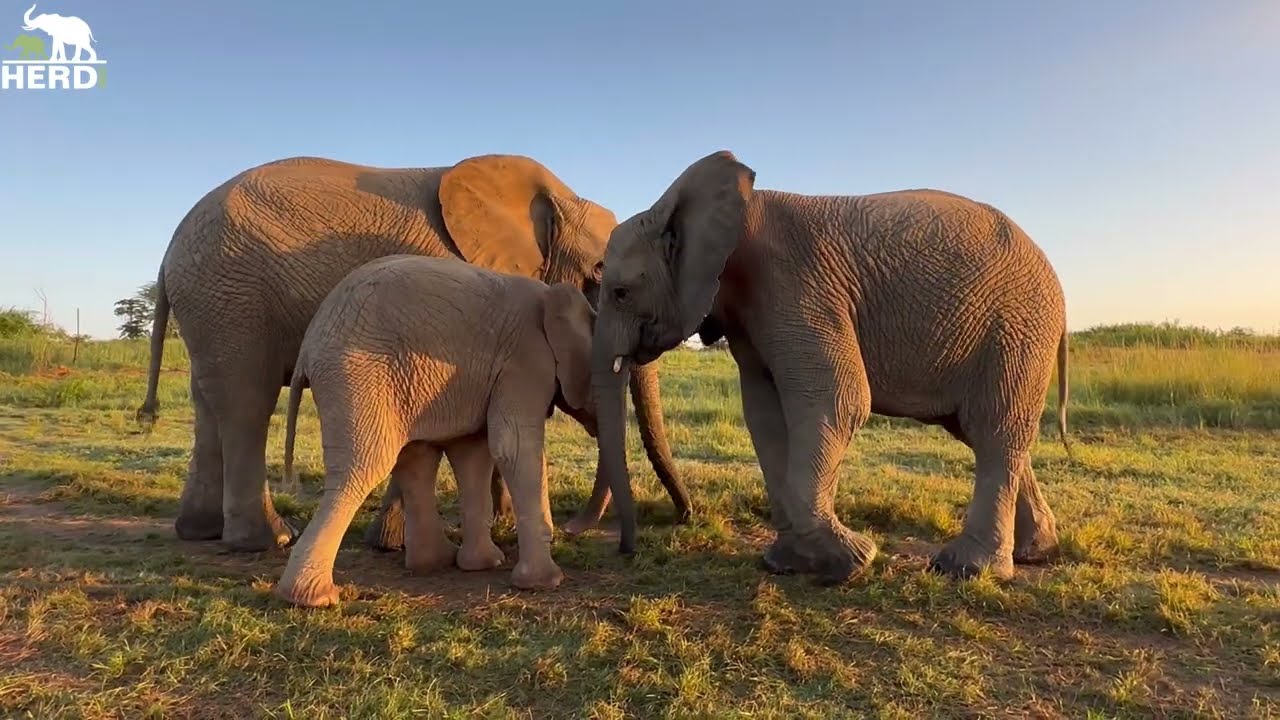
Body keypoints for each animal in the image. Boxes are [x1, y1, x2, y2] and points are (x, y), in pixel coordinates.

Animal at [136, 154, 690, 553]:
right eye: (599, 274)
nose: (681, 518)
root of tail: (168, 252)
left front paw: (497, 523)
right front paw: (398, 545)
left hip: (212, 304)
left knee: (208, 403)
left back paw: (199, 534)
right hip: (233, 298)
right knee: (248, 403)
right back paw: (267, 540)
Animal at [275, 255, 597, 607]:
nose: (569, 530)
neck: (552, 296)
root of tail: (307, 348)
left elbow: (474, 452)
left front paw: (484, 565)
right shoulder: (524, 361)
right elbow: (512, 446)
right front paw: (544, 583)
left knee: (413, 457)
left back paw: (433, 562)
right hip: (356, 378)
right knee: (362, 469)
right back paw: (315, 598)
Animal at [586, 150, 1069, 584]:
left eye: (621, 293)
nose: (627, 551)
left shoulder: (793, 283)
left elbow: (837, 398)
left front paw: (849, 563)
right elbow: (763, 414)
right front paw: (787, 562)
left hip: (1017, 328)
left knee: (994, 428)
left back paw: (964, 570)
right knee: (983, 431)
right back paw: (1034, 552)